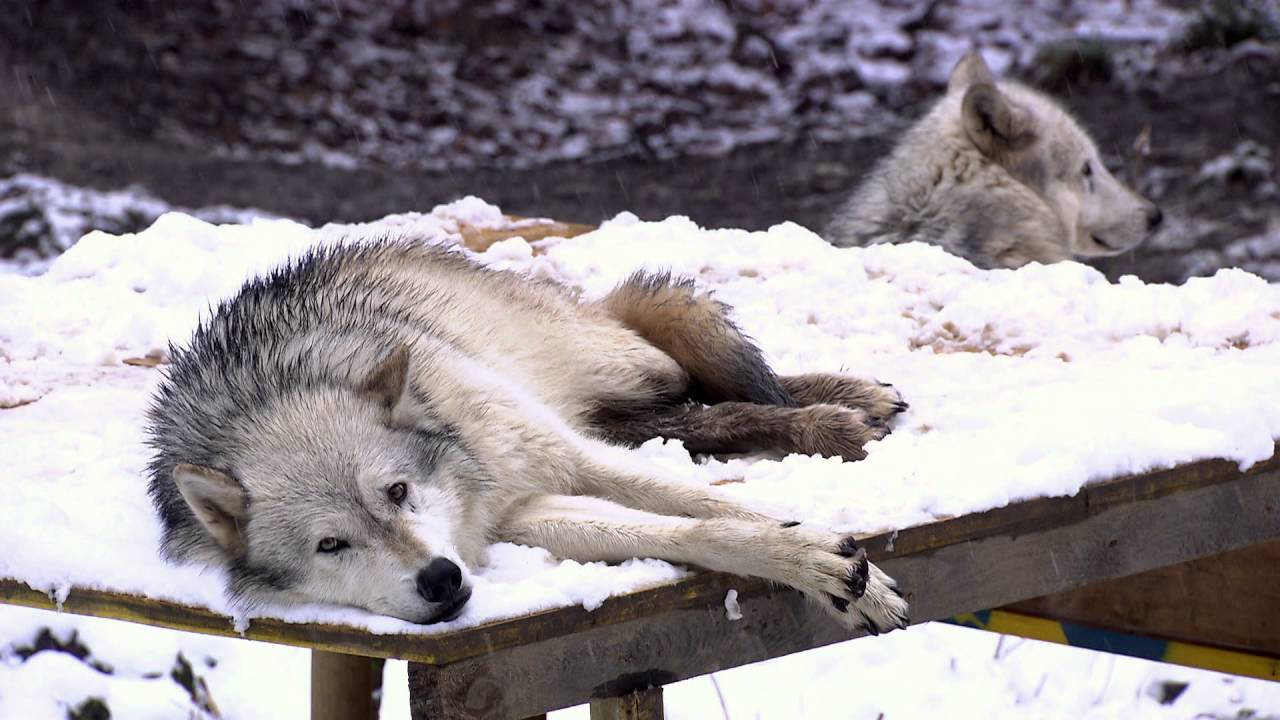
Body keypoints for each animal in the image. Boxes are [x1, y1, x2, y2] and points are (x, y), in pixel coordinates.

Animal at [146, 240, 911, 634]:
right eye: (329, 545)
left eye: (398, 492)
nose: (440, 578)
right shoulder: (525, 517)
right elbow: (692, 532)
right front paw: (818, 564)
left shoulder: (568, 456)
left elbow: (719, 507)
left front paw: (844, 569)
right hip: (616, 403)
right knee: (692, 414)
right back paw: (850, 410)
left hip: (621, 361)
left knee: (714, 382)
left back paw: (850, 406)